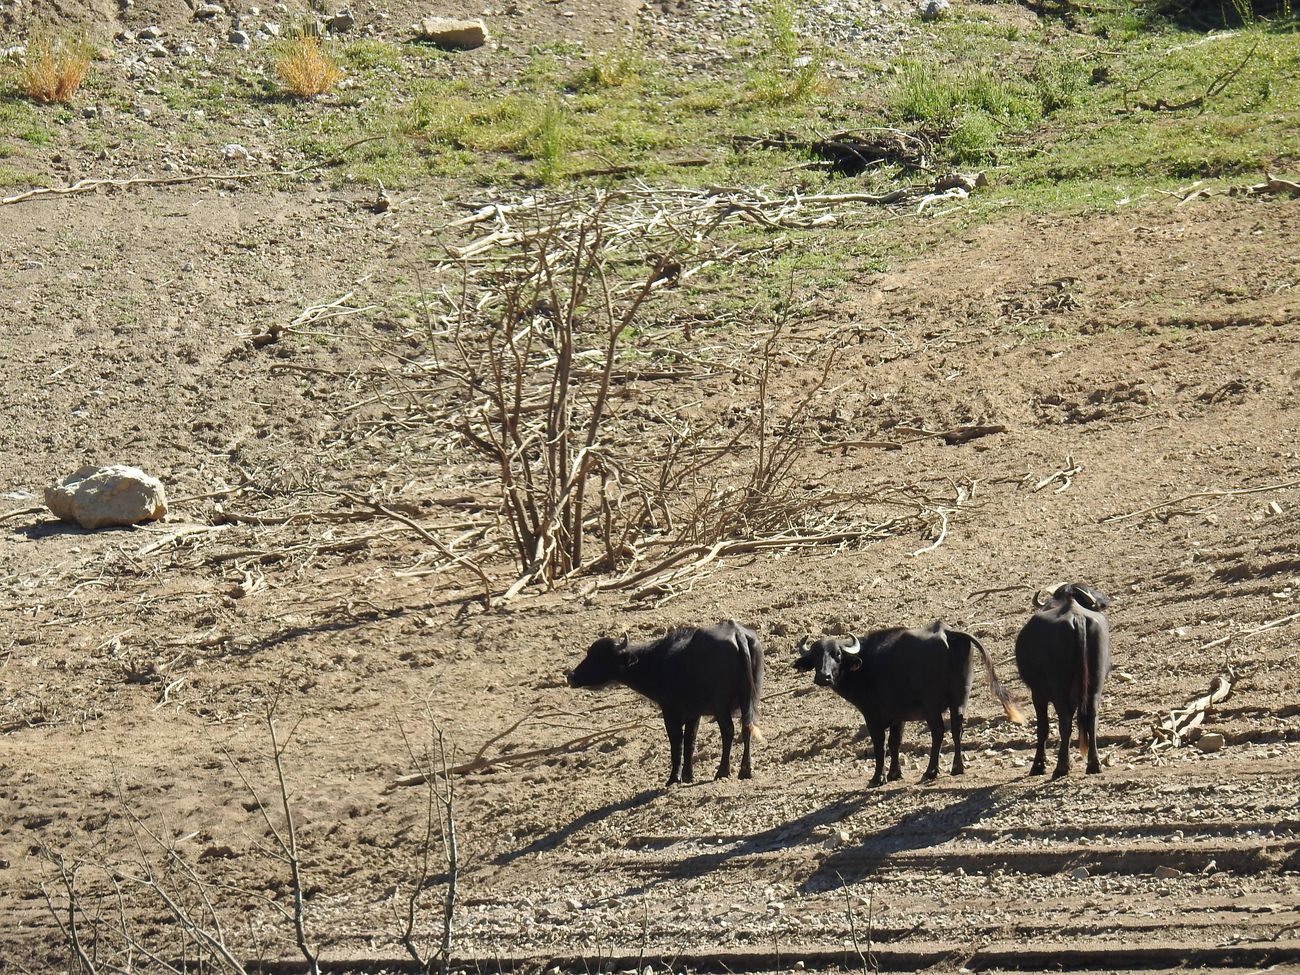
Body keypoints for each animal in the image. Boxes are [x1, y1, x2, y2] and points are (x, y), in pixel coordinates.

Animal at [566, 626, 759, 785]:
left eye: (599, 657)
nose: (571, 676)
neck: (656, 663)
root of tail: (737, 634)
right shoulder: (693, 714)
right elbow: (690, 741)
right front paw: (688, 775)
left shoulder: (670, 713)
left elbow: (676, 743)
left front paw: (674, 778)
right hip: (749, 699)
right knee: (747, 727)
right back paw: (745, 771)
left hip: (721, 705)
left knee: (728, 731)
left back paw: (722, 771)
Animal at [795, 621, 1019, 790]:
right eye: (815, 656)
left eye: (837, 654)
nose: (823, 677)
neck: (863, 666)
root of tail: (947, 632)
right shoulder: (898, 717)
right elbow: (895, 742)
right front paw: (895, 773)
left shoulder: (872, 716)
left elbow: (880, 745)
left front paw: (877, 778)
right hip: (961, 697)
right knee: (957, 728)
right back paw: (957, 767)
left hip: (931, 704)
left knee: (938, 731)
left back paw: (930, 771)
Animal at [1013, 585, 1118, 785]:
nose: (1105, 600)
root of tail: (1077, 617)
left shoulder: (1038, 693)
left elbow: (1043, 728)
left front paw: (1038, 765)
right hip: (1095, 685)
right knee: (1092, 718)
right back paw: (1094, 765)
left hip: (1058, 688)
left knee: (1065, 721)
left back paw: (1061, 767)